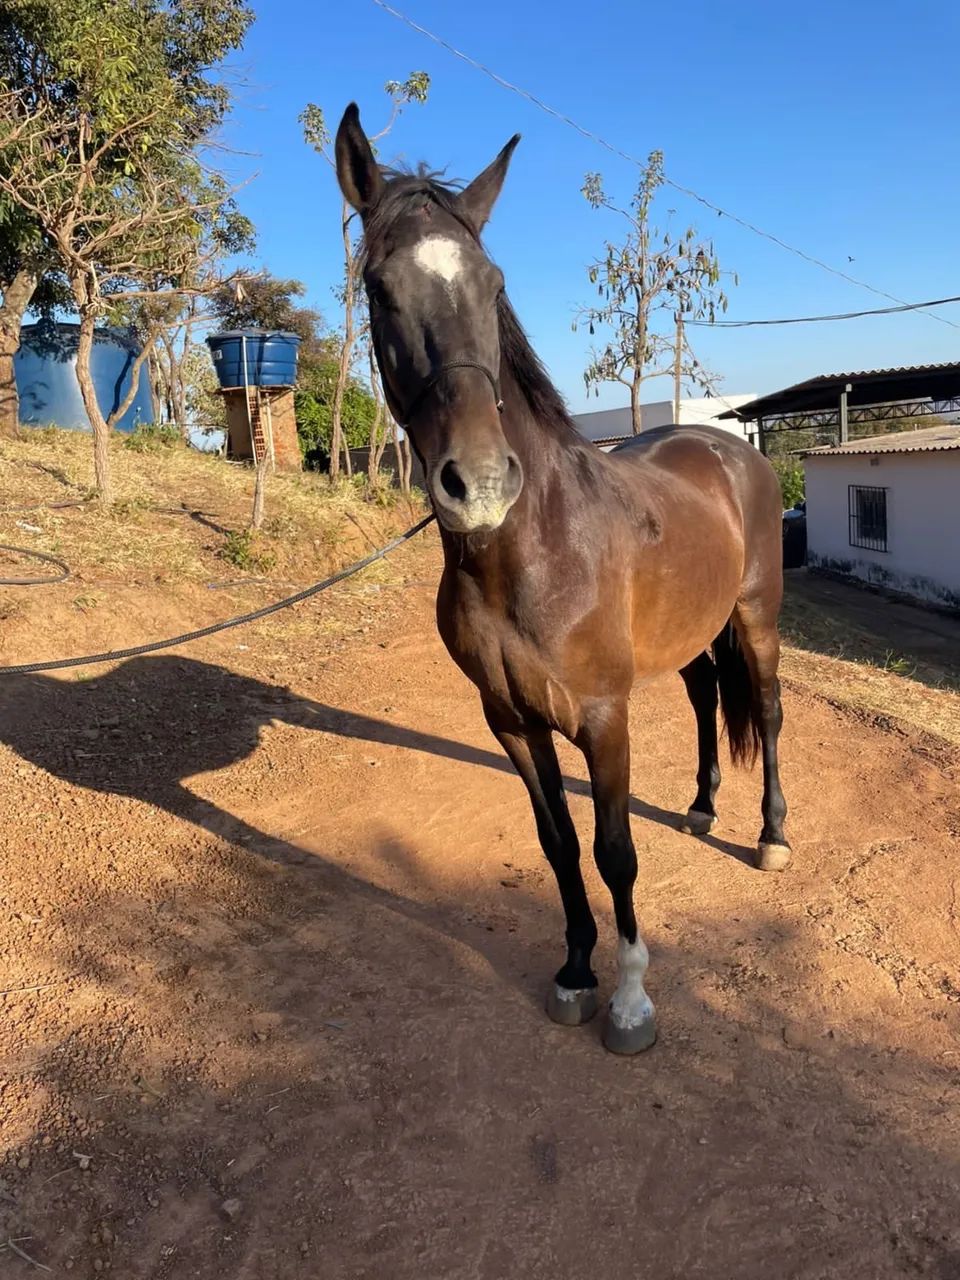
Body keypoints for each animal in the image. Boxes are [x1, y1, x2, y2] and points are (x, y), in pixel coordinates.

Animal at [334, 103, 790, 1054]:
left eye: (492, 281)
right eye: (378, 288)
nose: (478, 482)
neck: (532, 549)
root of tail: (733, 446)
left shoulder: (603, 718)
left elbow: (615, 852)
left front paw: (631, 1001)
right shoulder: (510, 720)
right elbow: (560, 846)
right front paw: (577, 972)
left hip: (757, 616)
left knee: (765, 710)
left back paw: (771, 837)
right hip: (694, 632)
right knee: (705, 697)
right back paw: (701, 806)